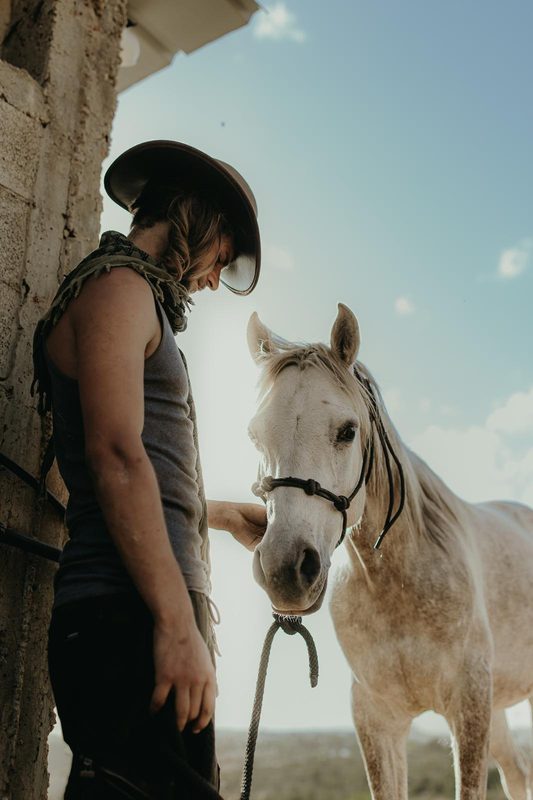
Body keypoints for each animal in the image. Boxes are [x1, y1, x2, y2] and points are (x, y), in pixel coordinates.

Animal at [246, 302, 533, 800]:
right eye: (254, 435)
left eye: (347, 430)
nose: (285, 568)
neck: (397, 582)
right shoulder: (378, 717)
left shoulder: (469, 707)